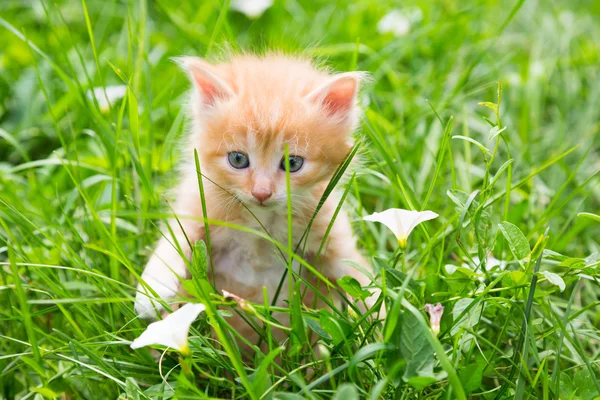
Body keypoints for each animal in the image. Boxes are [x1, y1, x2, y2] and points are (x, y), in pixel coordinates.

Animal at [136, 54, 380, 338]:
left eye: (293, 163)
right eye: (238, 159)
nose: (261, 192)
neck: (262, 224)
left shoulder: (332, 237)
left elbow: (362, 280)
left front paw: (385, 326)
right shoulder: (197, 206)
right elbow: (173, 241)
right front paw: (151, 291)